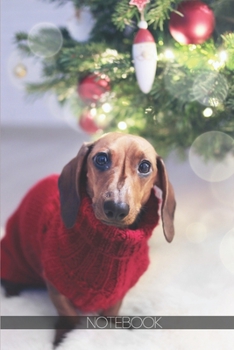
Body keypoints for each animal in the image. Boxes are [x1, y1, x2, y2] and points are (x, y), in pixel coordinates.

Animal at [0, 133, 176, 346]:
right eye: (101, 159)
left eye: (145, 166)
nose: (116, 208)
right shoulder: (55, 283)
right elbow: (69, 314)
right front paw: (64, 338)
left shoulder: (118, 293)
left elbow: (111, 311)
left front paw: (116, 326)